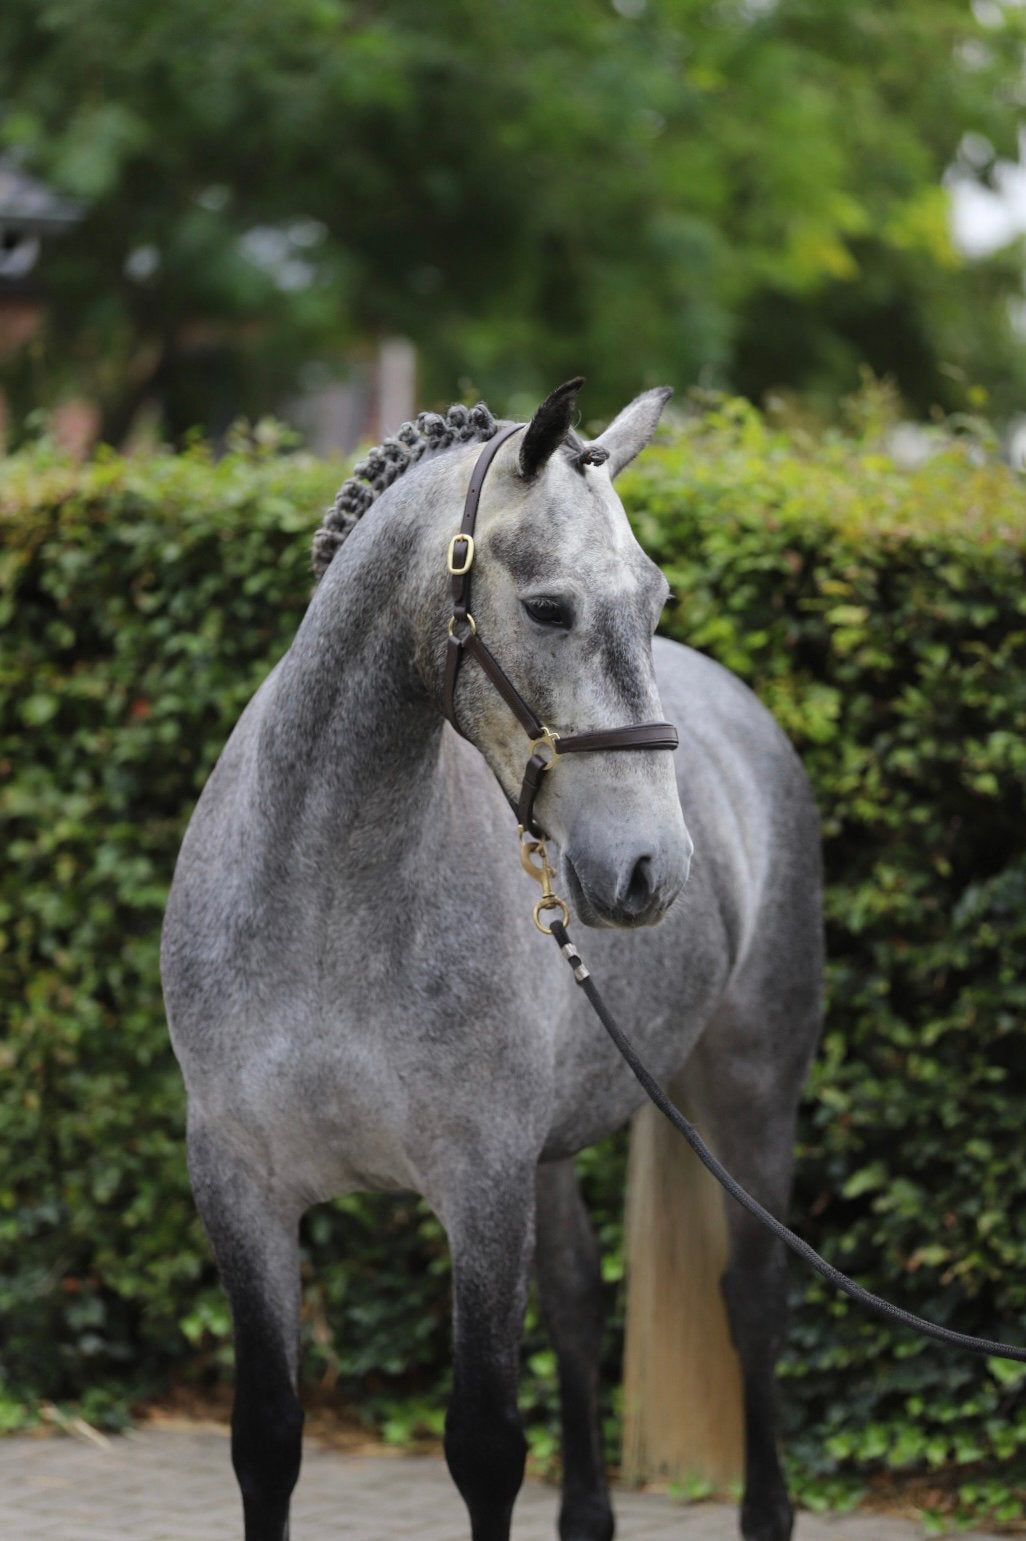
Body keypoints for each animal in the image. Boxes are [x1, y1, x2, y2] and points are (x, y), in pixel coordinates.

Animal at [161, 377, 823, 1541]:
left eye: (656, 601)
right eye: (550, 608)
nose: (651, 867)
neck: (325, 900)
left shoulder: (481, 1183)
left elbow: (483, 1446)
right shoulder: (240, 1183)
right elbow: (267, 1441)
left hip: (749, 1092)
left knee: (751, 1300)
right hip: (553, 1151)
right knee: (576, 1298)